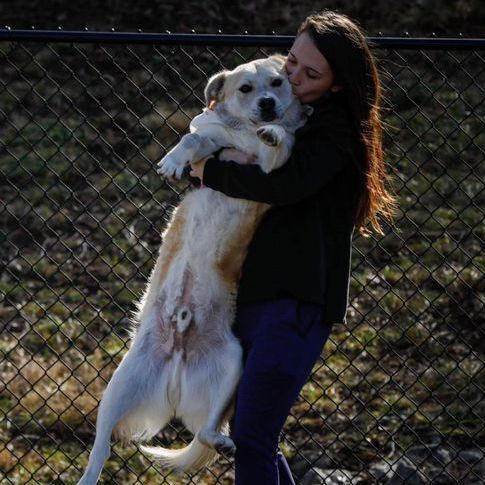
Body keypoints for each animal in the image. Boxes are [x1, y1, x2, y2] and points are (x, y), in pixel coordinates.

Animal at [77, 54, 308, 482]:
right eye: (246, 88)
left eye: (277, 82)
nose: (267, 104)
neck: (245, 133)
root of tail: (176, 368)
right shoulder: (212, 137)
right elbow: (194, 139)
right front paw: (174, 160)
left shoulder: (270, 169)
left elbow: (281, 142)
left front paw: (275, 131)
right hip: (117, 390)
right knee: (100, 447)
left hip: (233, 365)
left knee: (206, 430)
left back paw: (220, 439)